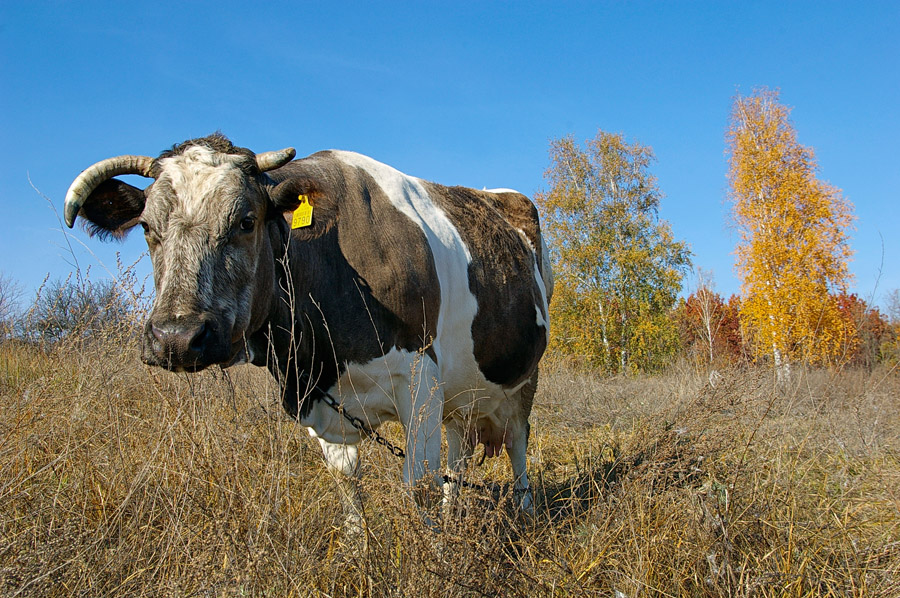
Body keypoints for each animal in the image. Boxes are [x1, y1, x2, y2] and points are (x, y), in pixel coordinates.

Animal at [63, 134, 552, 528]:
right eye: (148, 227)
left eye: (246, 221)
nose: (177, 338)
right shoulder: (321, 402)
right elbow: (347, 484)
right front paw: (359, 550)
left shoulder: (419, 380)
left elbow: (420, 486)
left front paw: (433, 559)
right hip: (461, 393)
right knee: (460, 454)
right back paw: (456, 518)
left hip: (524, 379)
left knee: (517, 444)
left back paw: (527, 516)